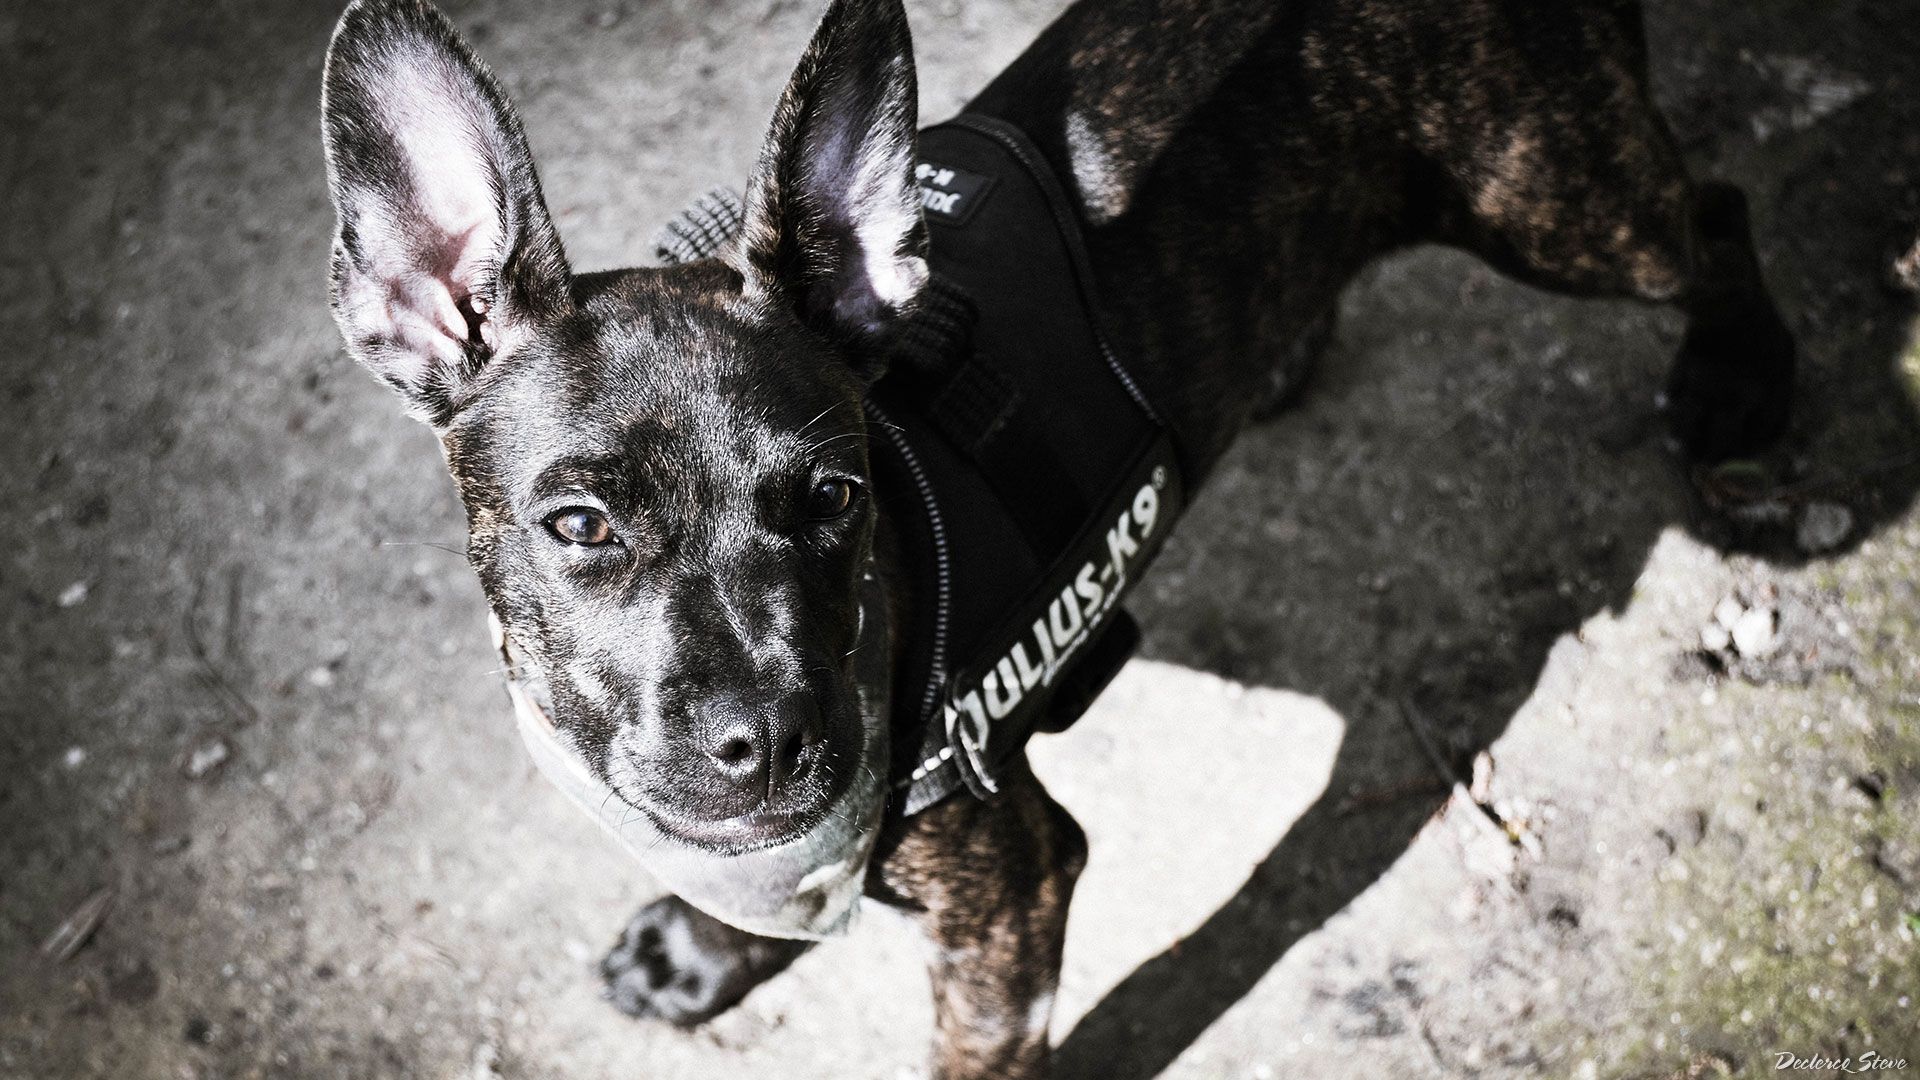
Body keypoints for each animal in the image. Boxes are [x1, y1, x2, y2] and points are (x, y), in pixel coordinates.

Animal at [318, 0, 1797, 1068]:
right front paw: (705, 952)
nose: (775, 735)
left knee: (1718, 216)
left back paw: (1739, 381)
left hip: (1563, 204)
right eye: (579, 523)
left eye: (839, 498)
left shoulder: (1010, 894)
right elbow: (742, 877)